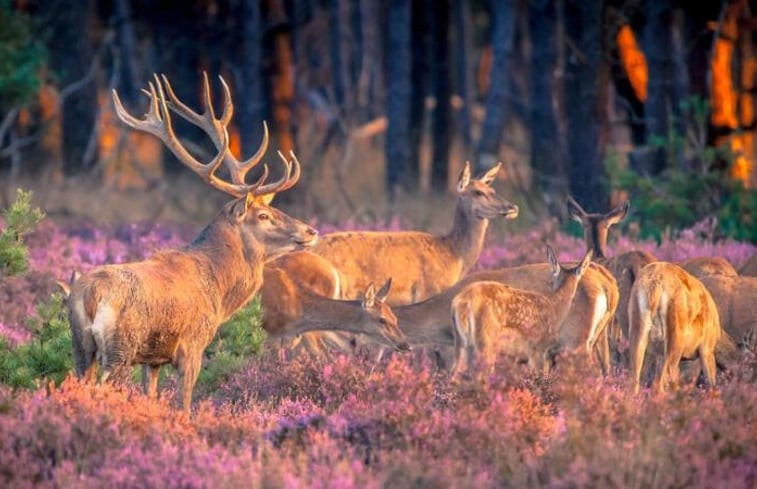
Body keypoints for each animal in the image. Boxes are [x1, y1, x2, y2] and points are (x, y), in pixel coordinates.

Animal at [67, 74, 316, 410]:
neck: (220, 290)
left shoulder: (153, 358)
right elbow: (184, 403)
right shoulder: (193, 343)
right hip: (120, 346)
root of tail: (91, 294)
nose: (310, 231)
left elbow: (151, 394)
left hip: (80, 345)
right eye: (263, 215)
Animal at [446, 248, 592, 374]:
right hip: (486, 342)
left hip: (461, 341)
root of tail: (462, 301)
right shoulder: (538, 348)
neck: (555, 308)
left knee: (454, 373)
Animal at [624, 264, 724, 392]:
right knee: (662, 383)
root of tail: (655, 282)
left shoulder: (655, 353)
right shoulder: (706, 349)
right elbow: (711, 383)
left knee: (635, 381)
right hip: (676, 343)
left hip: (639, 336)